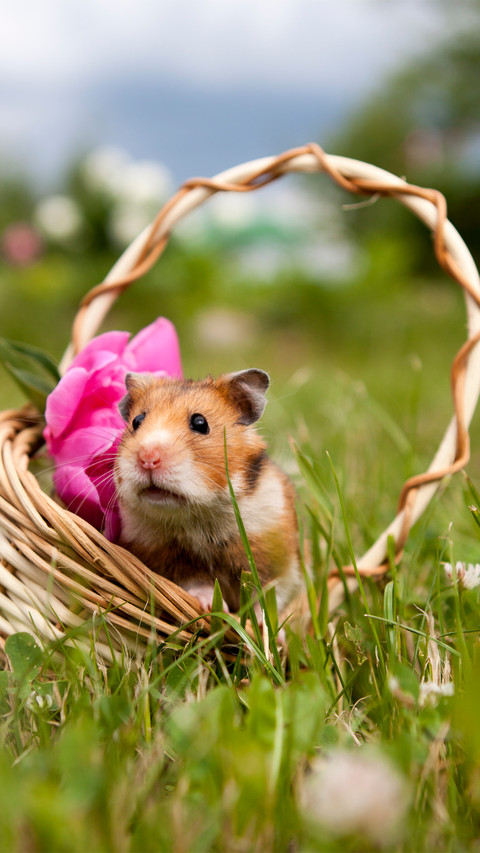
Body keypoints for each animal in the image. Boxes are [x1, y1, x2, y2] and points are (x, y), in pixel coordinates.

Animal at [114, 368, 301, 616]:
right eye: (136, 421)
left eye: (200, 423)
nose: (147, 458)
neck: (200, 515)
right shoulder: (171, 562)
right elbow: (198, 583)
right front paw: (213, 607)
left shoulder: (279, 560)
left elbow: (268, 595)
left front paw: (265, 624)